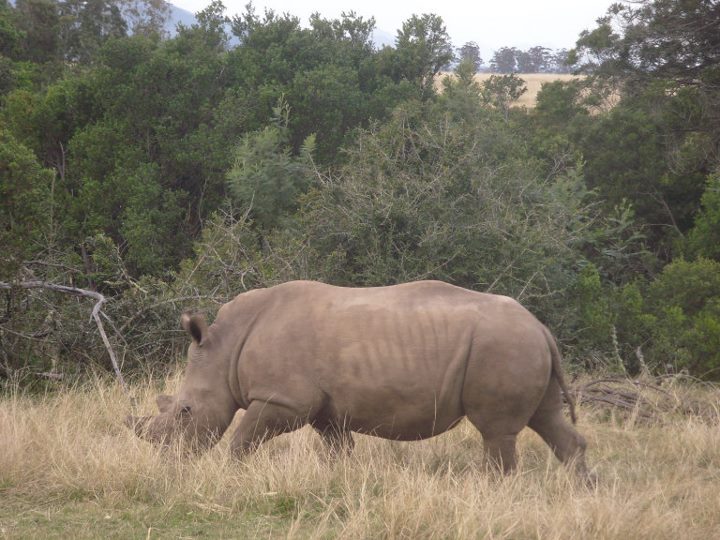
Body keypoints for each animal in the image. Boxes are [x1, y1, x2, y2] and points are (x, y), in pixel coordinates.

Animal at [126, 280, 592, 478]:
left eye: (185, 411)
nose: (169, 464)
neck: (224, 349)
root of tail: (541, 327)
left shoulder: (283, 399)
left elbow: (243, 439)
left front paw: (230, 474)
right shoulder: (324, 407)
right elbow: (338, 448)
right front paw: (340, 481)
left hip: (502, 346)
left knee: (496, 431)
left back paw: (492, 488)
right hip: (521, 346)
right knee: (547, 419)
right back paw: (579, 489)